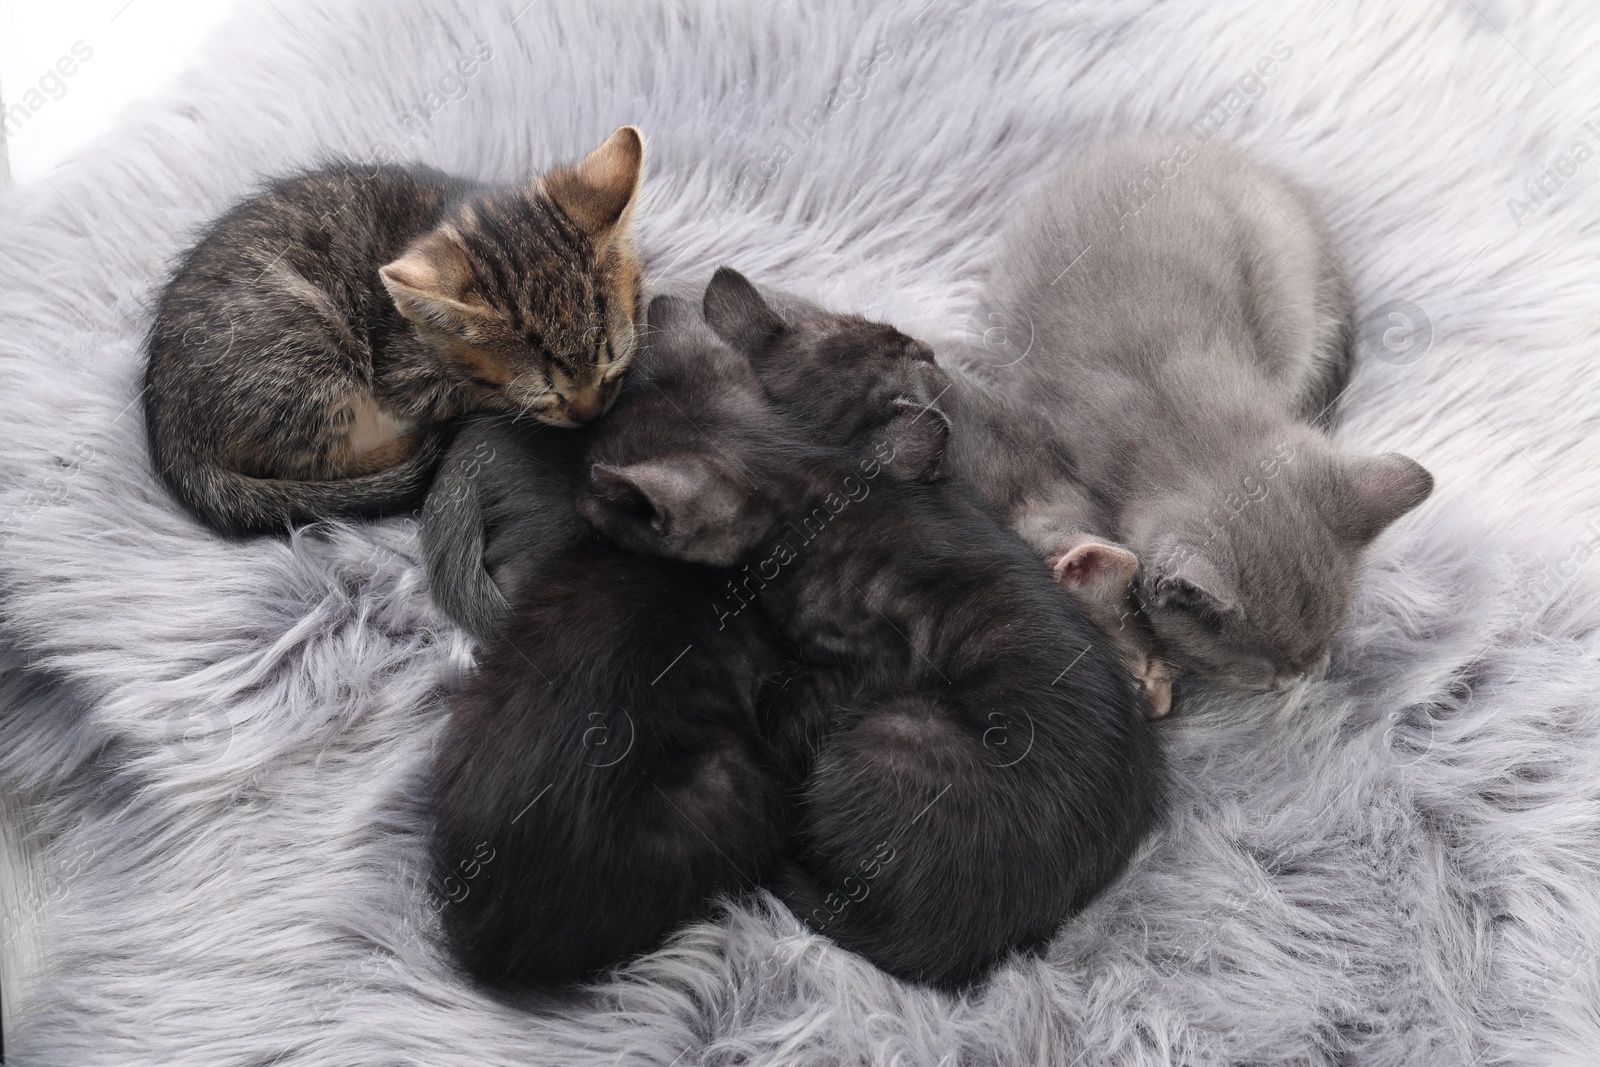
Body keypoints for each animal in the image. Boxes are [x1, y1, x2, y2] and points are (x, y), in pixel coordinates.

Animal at [144, 127, 643, 537]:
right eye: (542, 391)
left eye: (615, 357)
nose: (591, 414)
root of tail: (168, 431)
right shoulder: (406, 377)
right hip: (307, 347)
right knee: (323, 461)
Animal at [579, 279, 1164, 991]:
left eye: (598, 499)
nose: (928, 350)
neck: (802, 476)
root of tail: (953, 940)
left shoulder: (864, 659)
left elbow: (794, 704)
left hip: (895, 725)